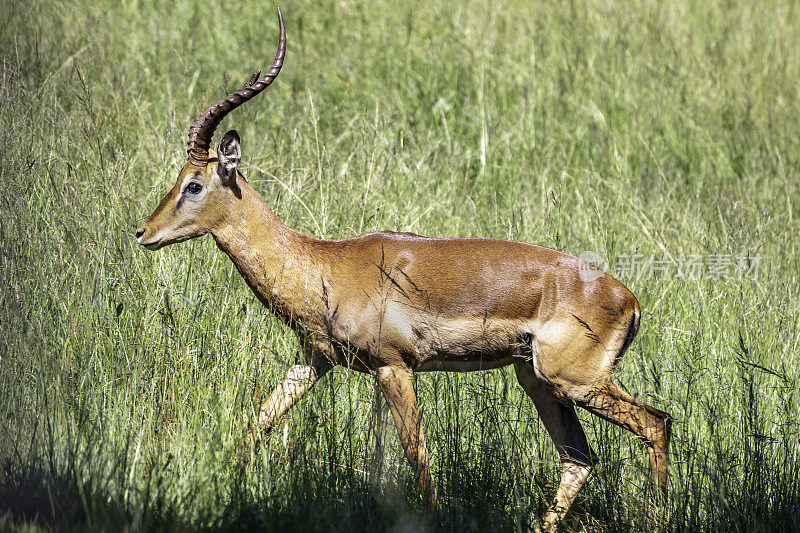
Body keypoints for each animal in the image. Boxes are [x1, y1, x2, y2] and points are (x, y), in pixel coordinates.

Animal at [136, 8, 668, 528]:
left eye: (194, 184)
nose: (142, 232)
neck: (323, 264)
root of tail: (628, 299)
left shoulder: (394, 367)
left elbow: (419, 459)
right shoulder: (316, 360)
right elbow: (258, 423)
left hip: (576, 381)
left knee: (655, 423)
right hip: (537, 379)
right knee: (579, 457)